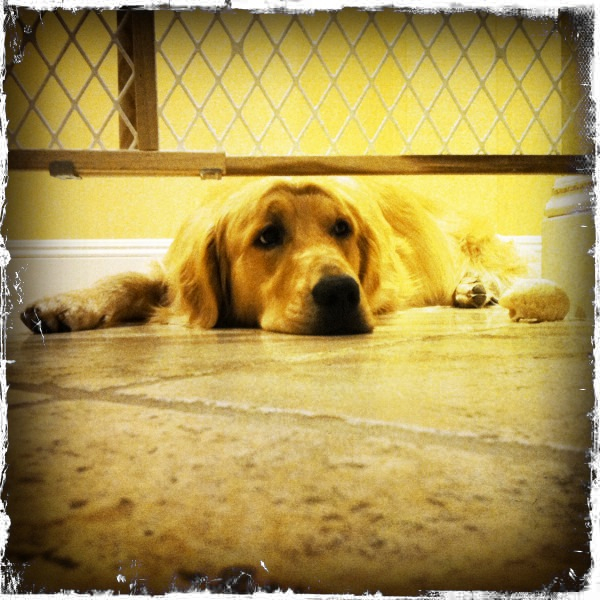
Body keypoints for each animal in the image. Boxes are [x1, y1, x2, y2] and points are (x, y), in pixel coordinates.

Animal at [20, 177, 526, 336]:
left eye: (342, 228)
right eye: (267, 237)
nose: (342, 294)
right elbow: (125, 279)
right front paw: (66, 305)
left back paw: (479, 287)